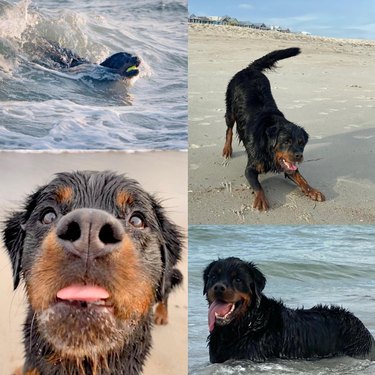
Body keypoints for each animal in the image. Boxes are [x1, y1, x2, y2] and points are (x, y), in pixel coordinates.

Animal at [223, 47, 326, 212]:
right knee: (229, 129)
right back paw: (227, 149)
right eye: (286, 141)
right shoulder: (251, 168)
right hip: (230, 107)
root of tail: (250, 69)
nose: (299, 155)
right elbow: (258, 186)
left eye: (301, 143)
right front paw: (261, 200)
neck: (269, 149)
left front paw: (312, 190)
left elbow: (301, 178)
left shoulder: (289, 166)